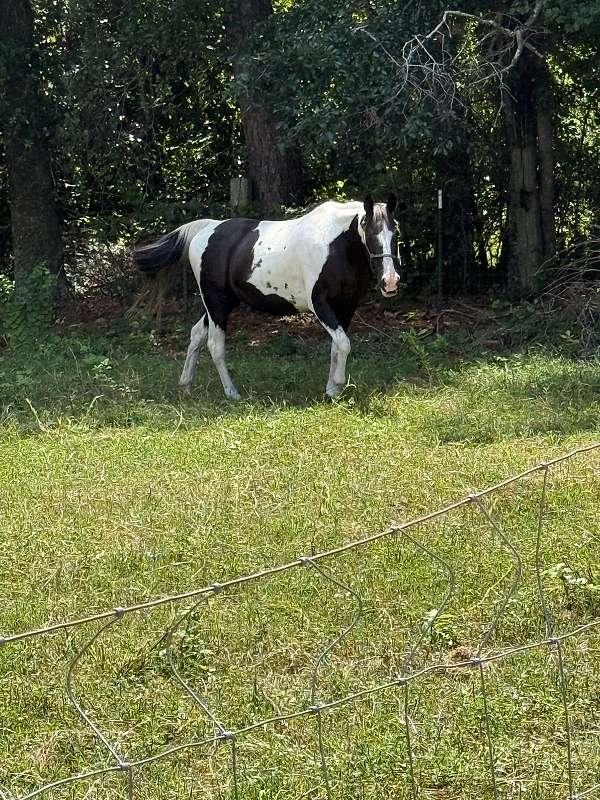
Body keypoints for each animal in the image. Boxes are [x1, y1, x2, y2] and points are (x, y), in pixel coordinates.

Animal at [133, 195, 402, 400]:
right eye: (371, 231)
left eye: (395, 231)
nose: (390, 282)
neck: (334, 245)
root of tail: (207, 228)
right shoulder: (321, 305)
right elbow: (344, 344)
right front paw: (337, 384)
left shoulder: (346, 306)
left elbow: (337, 346)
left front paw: (331, 390)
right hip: (217, 304)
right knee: (215, 345)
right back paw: (232, 393)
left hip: (219, 305)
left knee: (196, 334)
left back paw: (185, 386)